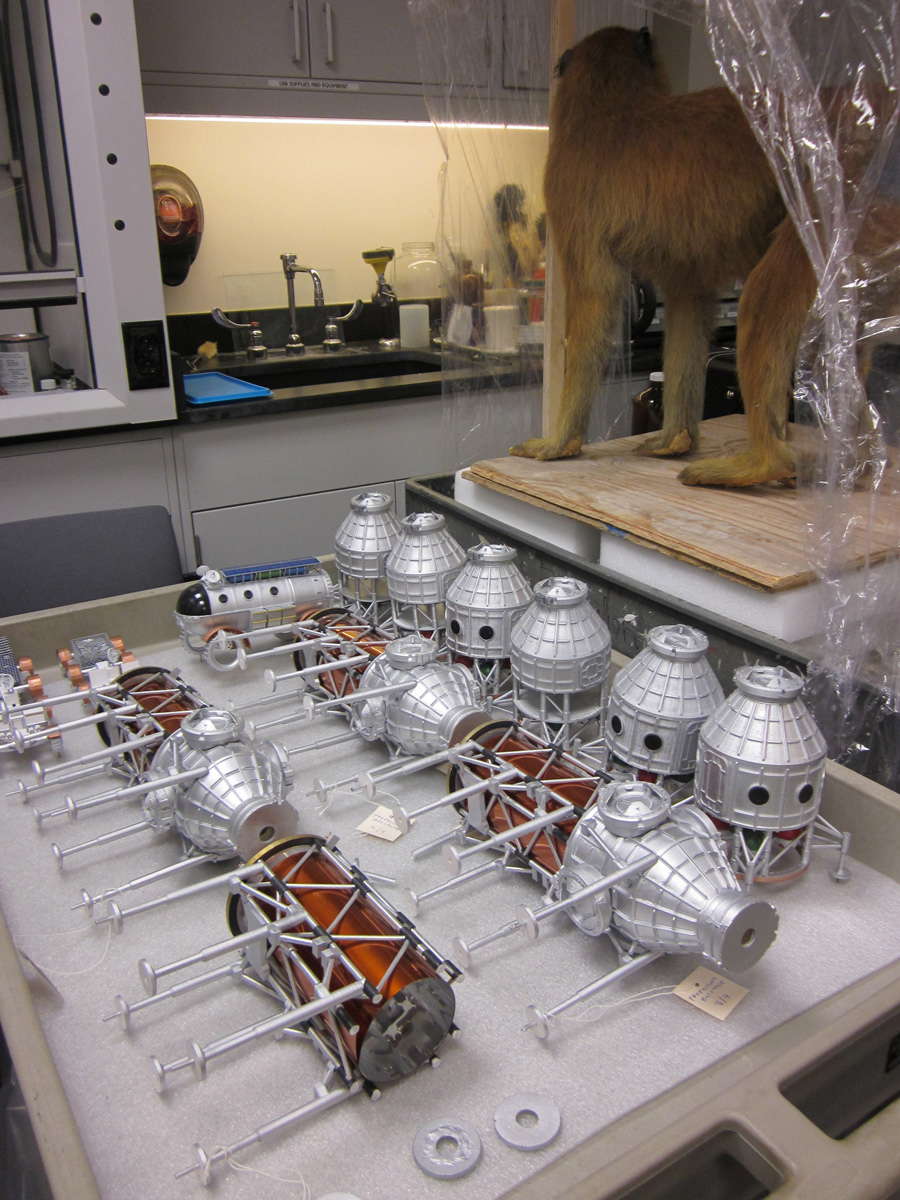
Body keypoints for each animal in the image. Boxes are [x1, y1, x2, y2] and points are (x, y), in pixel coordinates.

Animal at [511, 23, 897, 484]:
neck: (611, 101)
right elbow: (689, 305)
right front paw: (673, 440)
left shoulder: (568, 188)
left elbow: (595, 300)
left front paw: (559, 444)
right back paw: (854, 465)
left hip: (847, 206)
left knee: (767, 298)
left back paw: (765, 463)